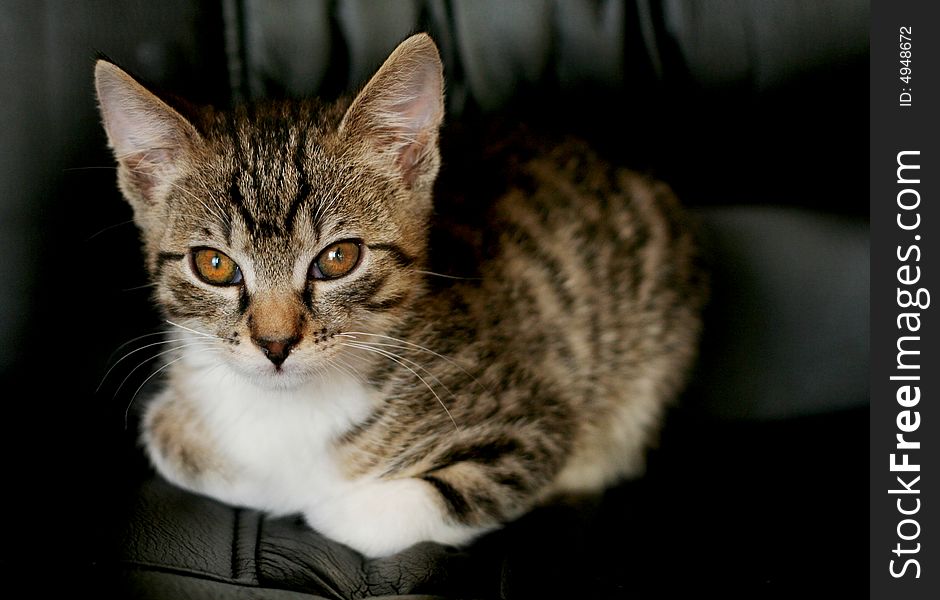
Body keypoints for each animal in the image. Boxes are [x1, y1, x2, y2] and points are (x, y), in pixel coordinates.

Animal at [97, 32, 704, 556]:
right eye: (215, 265)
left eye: (338, 259)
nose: (274, 344)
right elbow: (164, 437)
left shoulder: (535, 422)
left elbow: (423, 500)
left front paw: (319, 501)